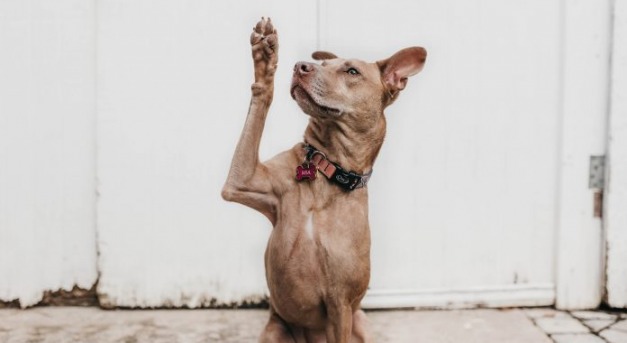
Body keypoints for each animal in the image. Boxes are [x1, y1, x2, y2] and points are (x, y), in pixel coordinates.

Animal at [222, 17, 426, 342]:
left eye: (352, 71)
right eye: (324, 63)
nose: (300, 66)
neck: (326, 169)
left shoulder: (340, 304)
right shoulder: (241, 181)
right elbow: (260, 101)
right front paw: (265, 60)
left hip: (360, 321)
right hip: (275, 330)